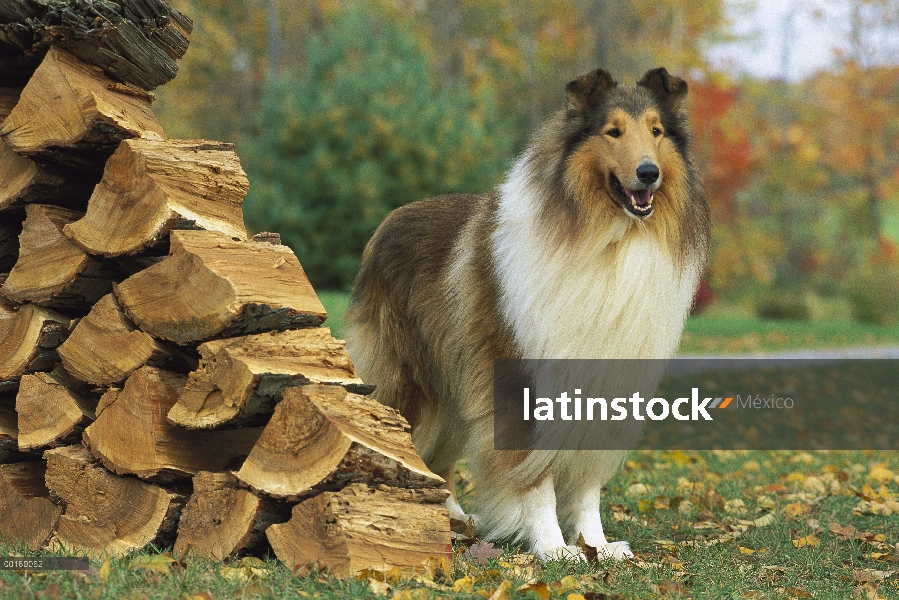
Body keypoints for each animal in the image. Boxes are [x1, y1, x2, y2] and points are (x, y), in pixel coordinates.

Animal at [344, 68, 712, 560]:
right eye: (612, 131)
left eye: (656, 131)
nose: (648, 173)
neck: (606, 239)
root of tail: (386, 223)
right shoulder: (520, 379)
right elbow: (535, 477)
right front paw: (554, 548)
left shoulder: (602, 382)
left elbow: (586, 484)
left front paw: (597, 545)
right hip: (411, 382)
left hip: (456, 389)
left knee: (439, 460)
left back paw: (459, 519)